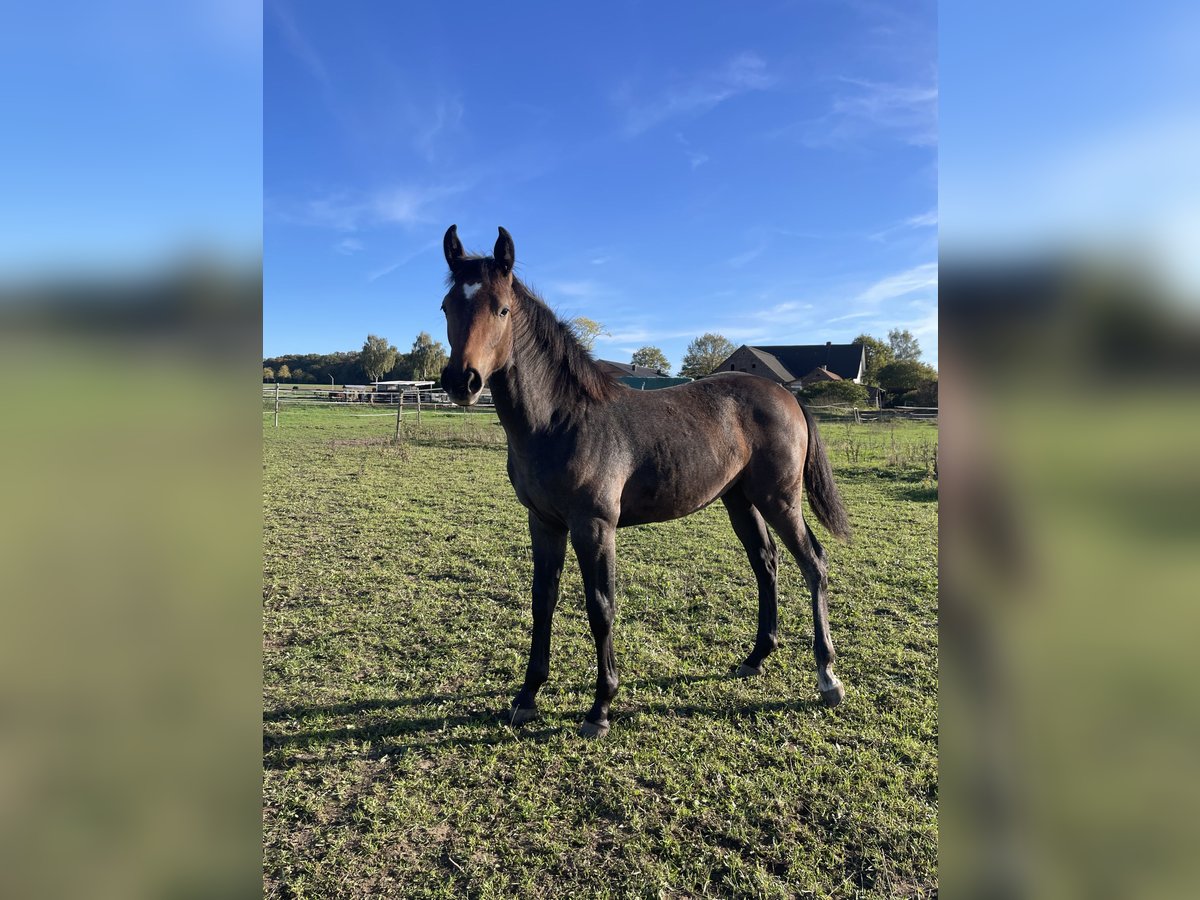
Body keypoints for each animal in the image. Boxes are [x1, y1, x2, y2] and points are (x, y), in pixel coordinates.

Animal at [438, 225, 852, 738]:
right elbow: (542, 601)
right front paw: (527, 697)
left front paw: (600, 708)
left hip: (780, 499)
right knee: (766, 563)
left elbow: (601, 608)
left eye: (502, 308)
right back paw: (755, 657)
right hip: (740, 499)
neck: (562, 419)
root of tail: (786, 395)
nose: (462, 381)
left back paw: (827, 677)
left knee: (813, 563)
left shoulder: (595, 526)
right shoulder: (544, 523)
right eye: (447, 307)